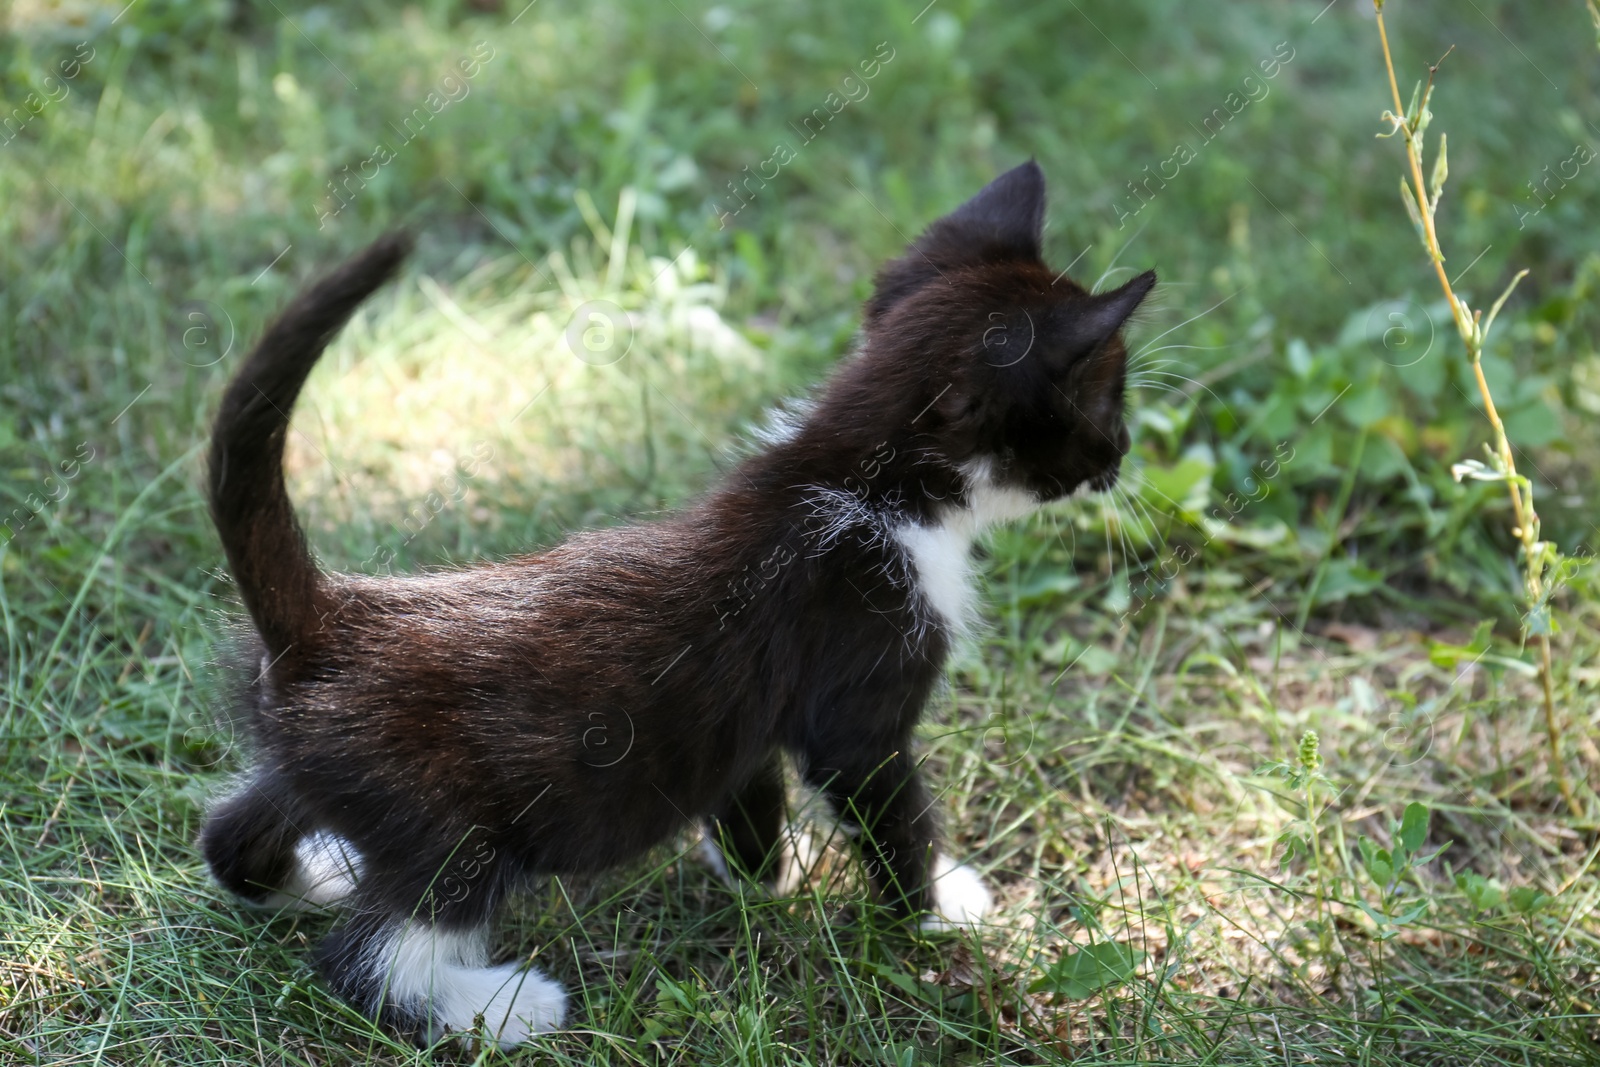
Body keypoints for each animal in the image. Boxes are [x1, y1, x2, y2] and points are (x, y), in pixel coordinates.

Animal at [200, 163, 1158, 1049]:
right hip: (451, 825)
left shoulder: (738, 718)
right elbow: (890, 812)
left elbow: (746, 787)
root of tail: (325, 615)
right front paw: (929, 908)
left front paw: (756, 871)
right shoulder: (859, 697)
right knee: (369, 957)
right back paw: (498, 1005)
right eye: (1108, 398)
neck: (865, 486)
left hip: (322, 768)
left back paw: (317, 877)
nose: (1123, 452)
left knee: (230, 834)